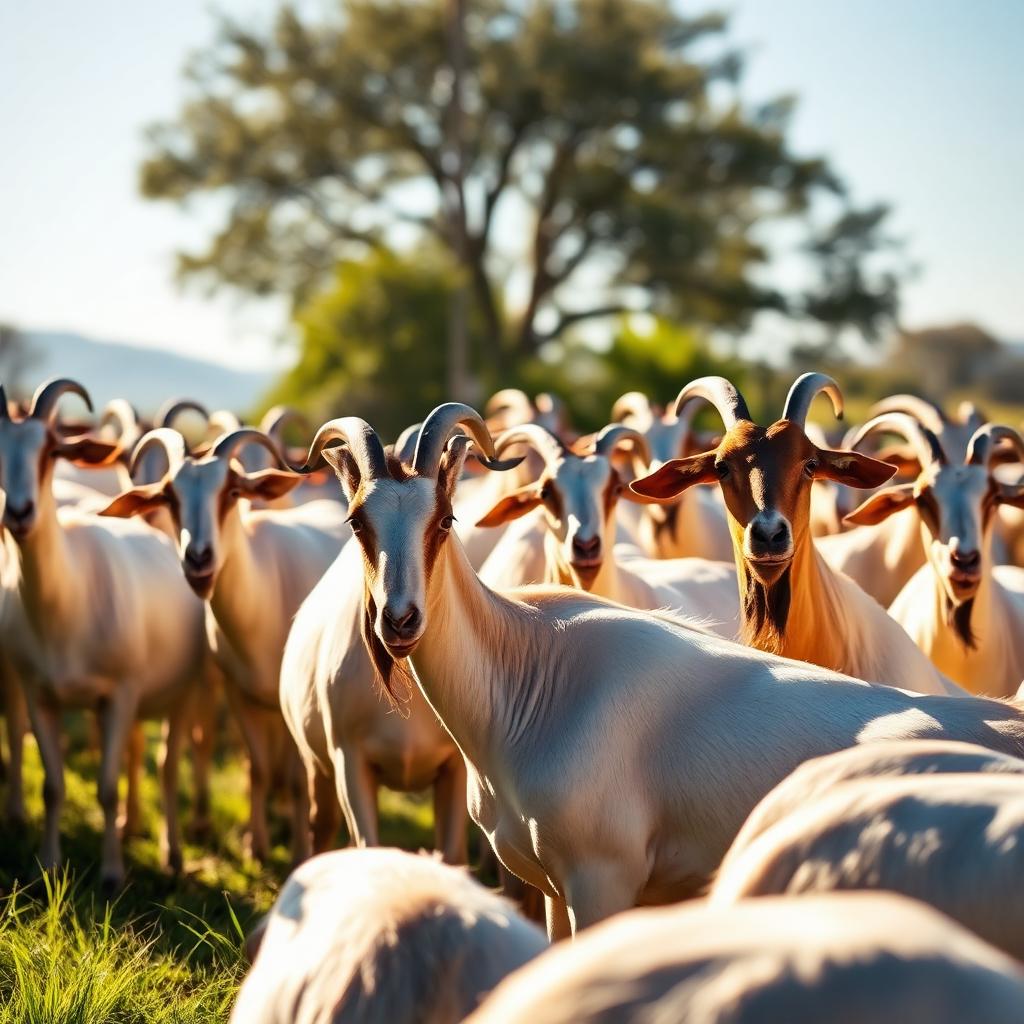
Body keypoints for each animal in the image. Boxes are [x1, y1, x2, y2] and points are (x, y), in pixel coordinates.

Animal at [0, 378, 208, 890]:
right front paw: (49, 864)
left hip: (181, 694)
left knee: (167, 768)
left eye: (51, 450)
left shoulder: (119, 694)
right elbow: (53, 787)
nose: (19, 513)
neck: (64, 601)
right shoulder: (40, 695)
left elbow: (107, 788)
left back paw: (173, 854)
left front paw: (112, 875)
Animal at [101, 427, 348, 862]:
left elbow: (297, 783)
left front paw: (299, 854)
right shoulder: (240, 695)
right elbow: (258, 768)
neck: (264, 595)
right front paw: (256, 846)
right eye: (170, 497)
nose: (198, 559)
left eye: (232, 492)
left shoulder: (295, 709)